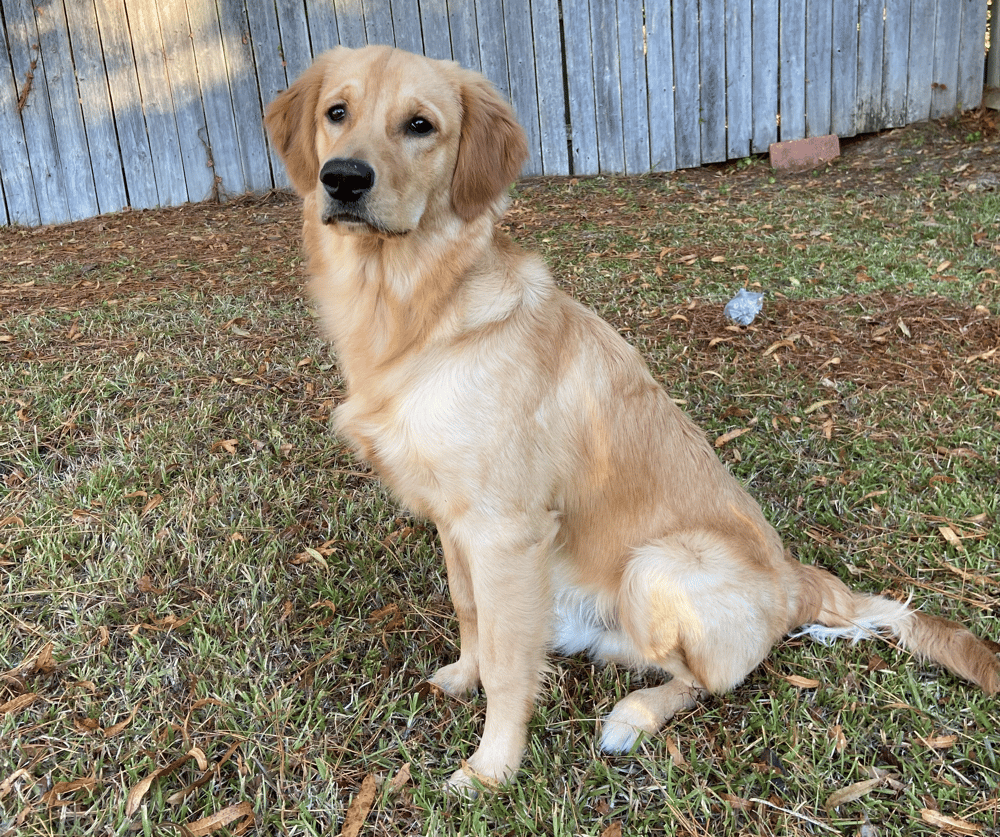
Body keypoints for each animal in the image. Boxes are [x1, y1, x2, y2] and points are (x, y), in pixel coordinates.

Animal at [262, 45, 996, 792]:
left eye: (420, 124)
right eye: (337, 112)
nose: (342, 178)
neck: (415, 311)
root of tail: (796, 577)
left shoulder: (506, 531)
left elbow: (507, 662)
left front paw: (492, 769)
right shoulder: (455, 522)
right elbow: (472, 617)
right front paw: (464, 676)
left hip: (656, 566)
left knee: (707, 680)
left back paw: (634, 716)